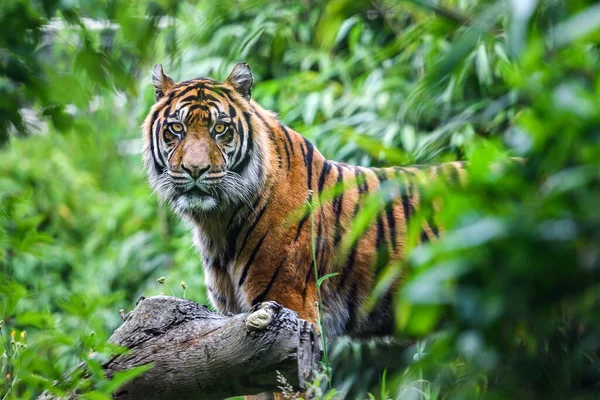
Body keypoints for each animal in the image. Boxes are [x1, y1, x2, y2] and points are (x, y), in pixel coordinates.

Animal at [141, 63, 464, 388]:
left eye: (220, 129)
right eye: (176, 128)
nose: (195, 170)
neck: (217, 221)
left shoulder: (286, 313)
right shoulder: (236, 331)